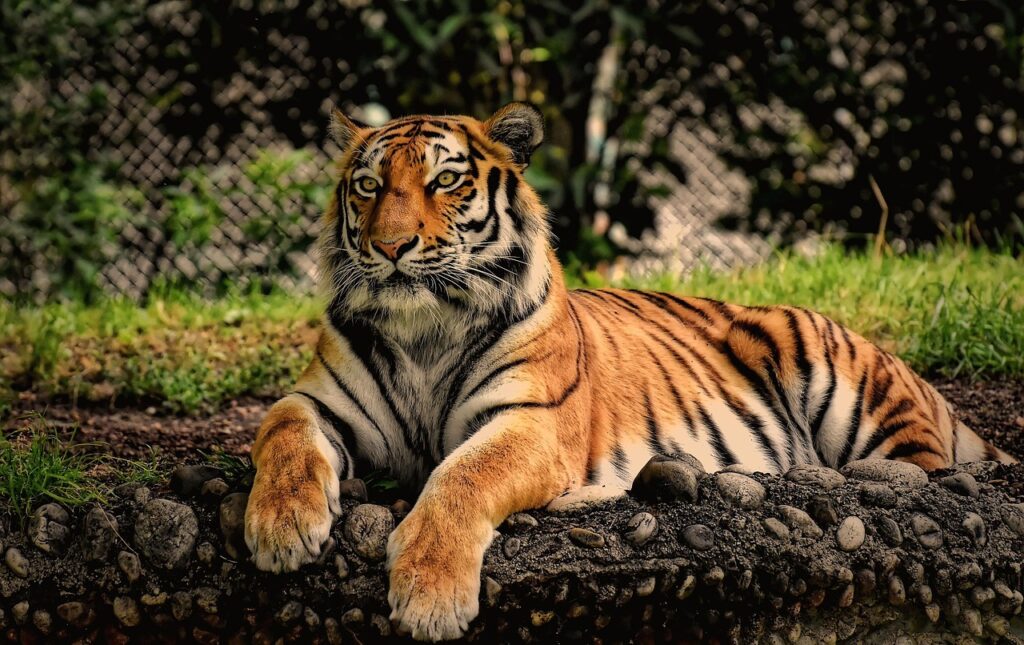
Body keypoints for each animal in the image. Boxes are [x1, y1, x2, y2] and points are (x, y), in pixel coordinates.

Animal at [243, 102, 1016, 641]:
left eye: (445, 181)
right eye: (368, 186)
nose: (391, 245)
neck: (424, 329)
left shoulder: (531, 422)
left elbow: (460, 477)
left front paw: (429, 596)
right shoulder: (318, 400)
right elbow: (281, 434)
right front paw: (281, 529)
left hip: (849, 386)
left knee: (921, 472)